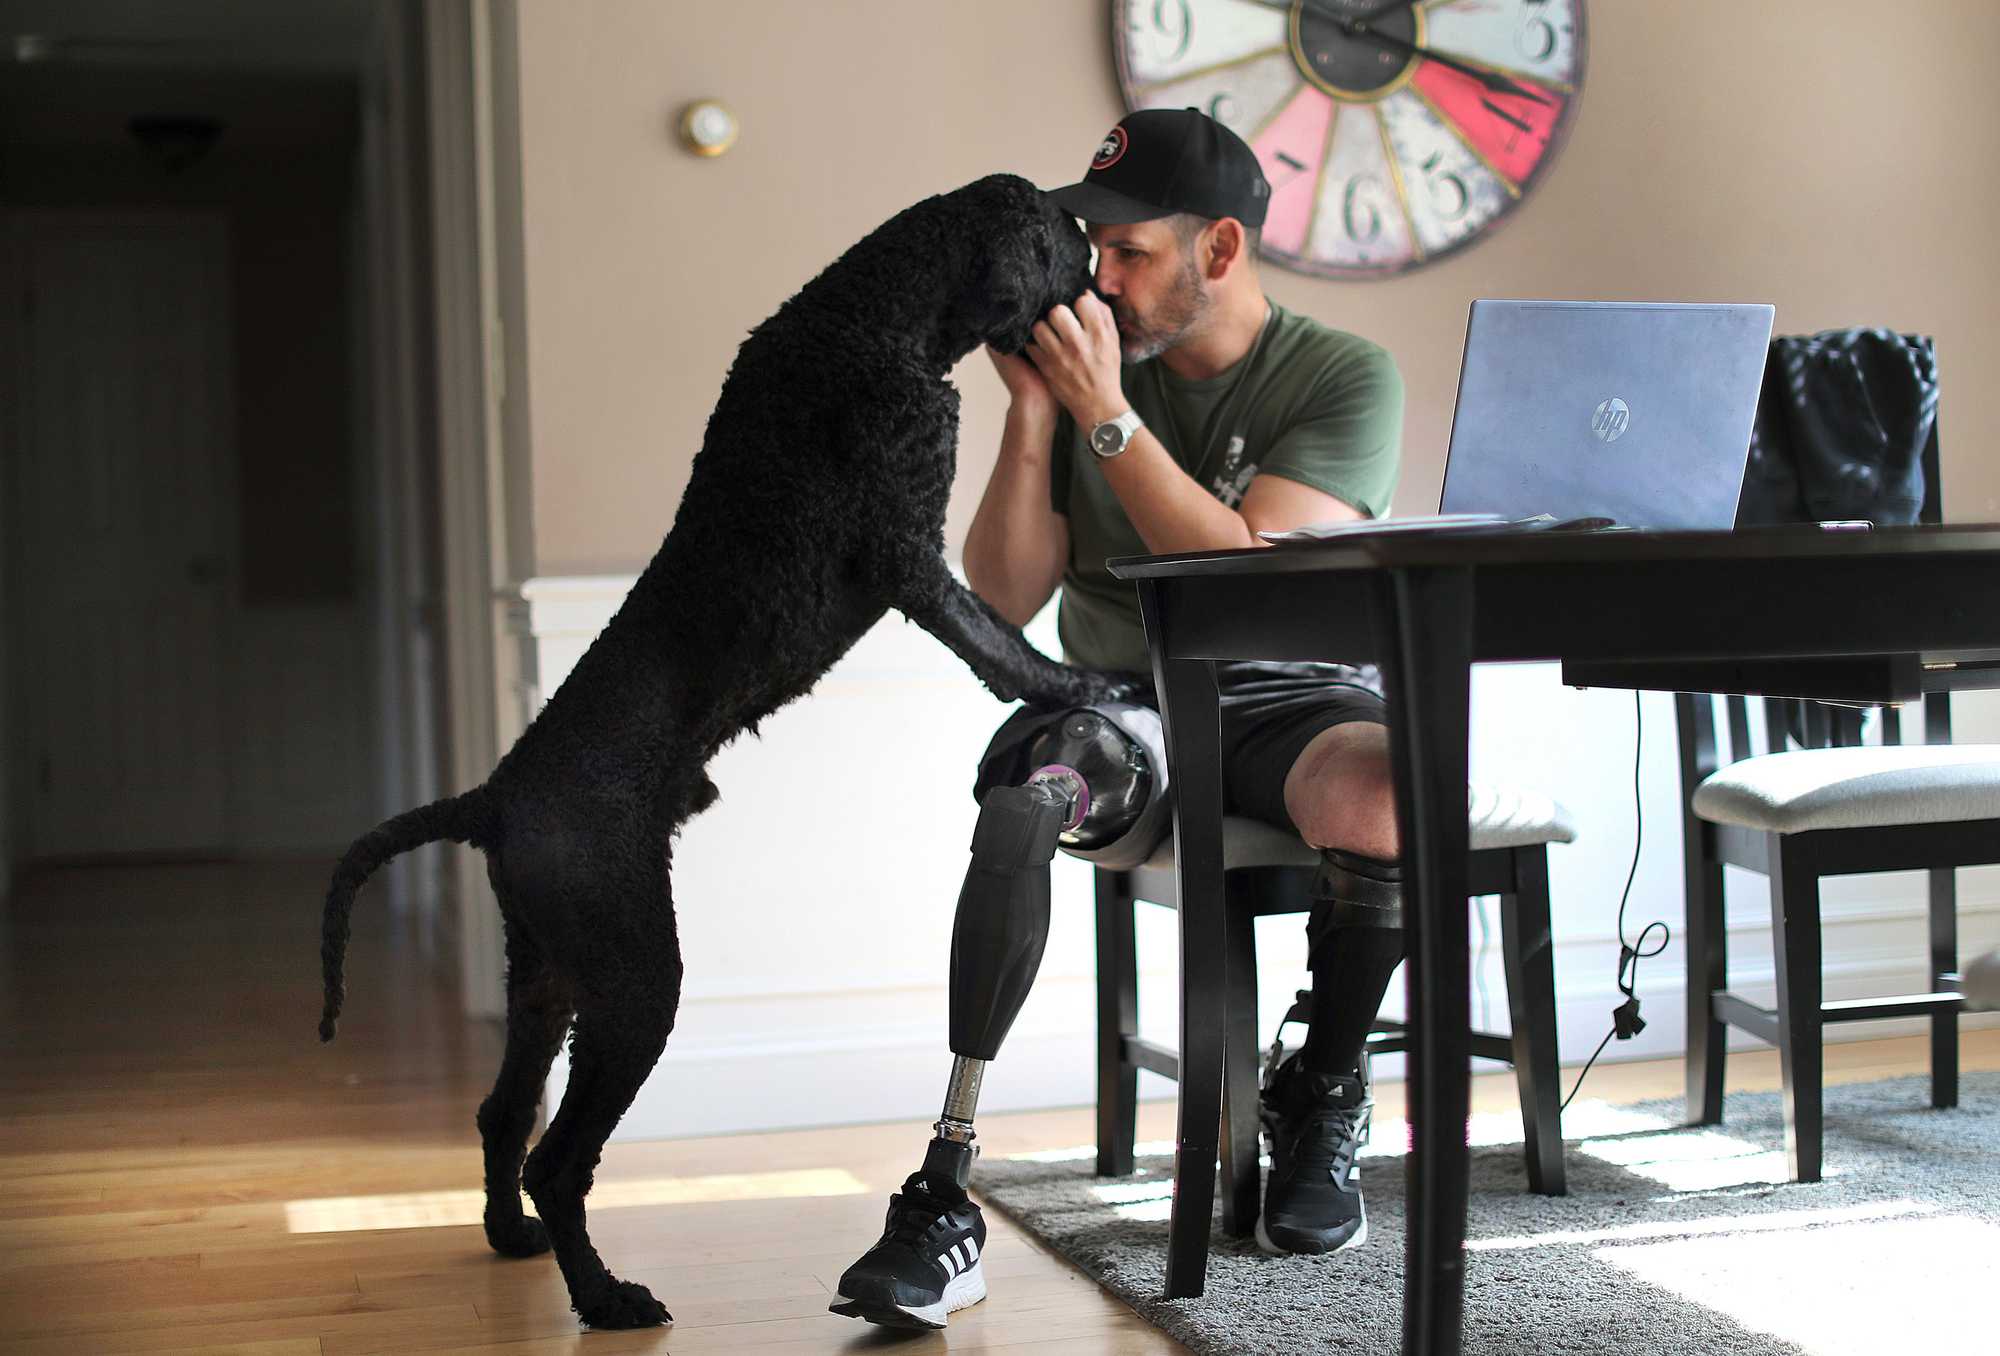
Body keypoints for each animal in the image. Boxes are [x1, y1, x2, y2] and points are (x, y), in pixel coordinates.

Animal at [314, 175, 1128, 1336]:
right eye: (1067, 236)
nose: (1110, 283)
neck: (874, 318)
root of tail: (491, 797)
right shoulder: (909, 557)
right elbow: (1001, 644)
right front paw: (1080, 686)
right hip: (633, 978)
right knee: (556, 1158)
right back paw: (606, 1298)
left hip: (547, 977)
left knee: (501, 1114)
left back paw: (512, 1240)